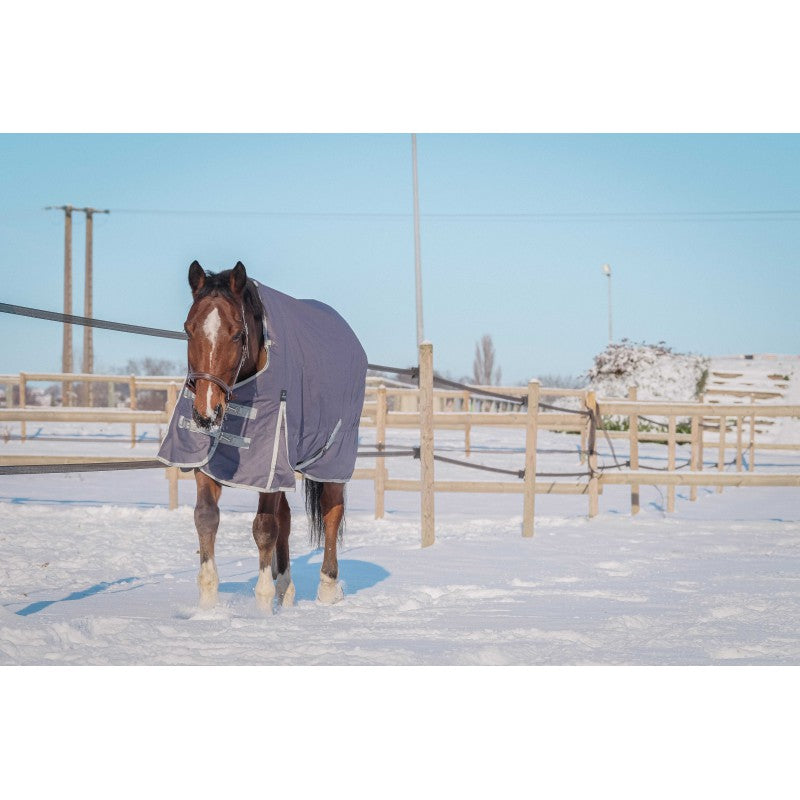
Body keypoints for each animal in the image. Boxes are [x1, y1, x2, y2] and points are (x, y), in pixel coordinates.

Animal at [157, 261, 367, 610]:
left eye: (237, 333)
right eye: (188, 329)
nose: (206, 413)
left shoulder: (268, 462)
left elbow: (264, 528)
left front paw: (262, 606)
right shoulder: (211, 462)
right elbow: (206, 518)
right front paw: (208, 606)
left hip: (331, 458)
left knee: (331, 512)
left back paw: (327, 590)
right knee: (287, 518)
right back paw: (286, 589)